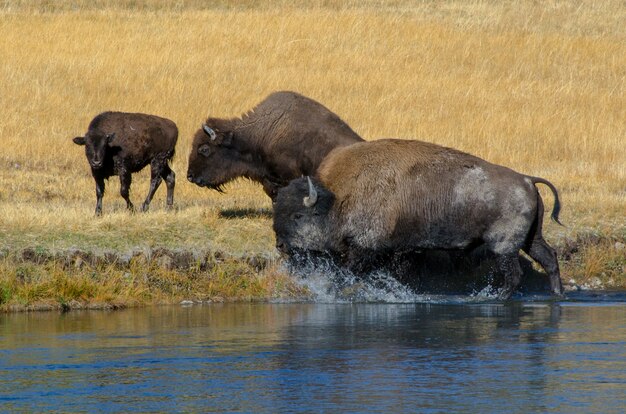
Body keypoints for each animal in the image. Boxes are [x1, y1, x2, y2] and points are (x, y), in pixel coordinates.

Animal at [270, 137, 564, 300]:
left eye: (298, 215)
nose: (280, 245)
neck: (337, 198)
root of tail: (526, 179)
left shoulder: (364, 249)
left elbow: (347, 273)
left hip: (504, 246)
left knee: (514, 274)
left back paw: (496, 298)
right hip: (531, 238)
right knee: (549, 258)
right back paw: (557, 294)